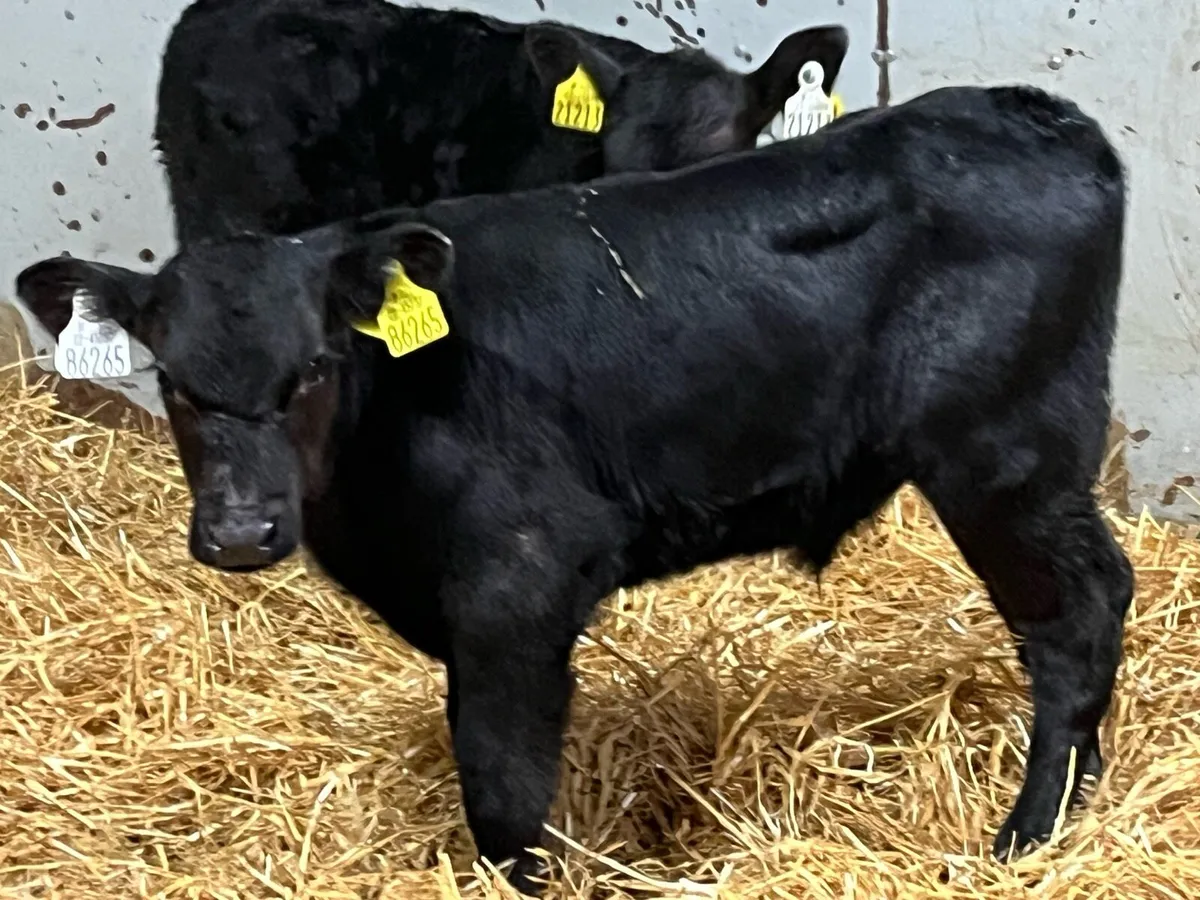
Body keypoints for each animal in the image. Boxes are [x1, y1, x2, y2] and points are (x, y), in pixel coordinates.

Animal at [18, 83, 1132, 894]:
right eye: (173, 381)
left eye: (317, 367)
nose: (244, 530)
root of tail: (1038, 113)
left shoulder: (522, 579)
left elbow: (504, 787)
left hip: (1005, 456)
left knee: (1075, 618)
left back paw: (1026, 837)